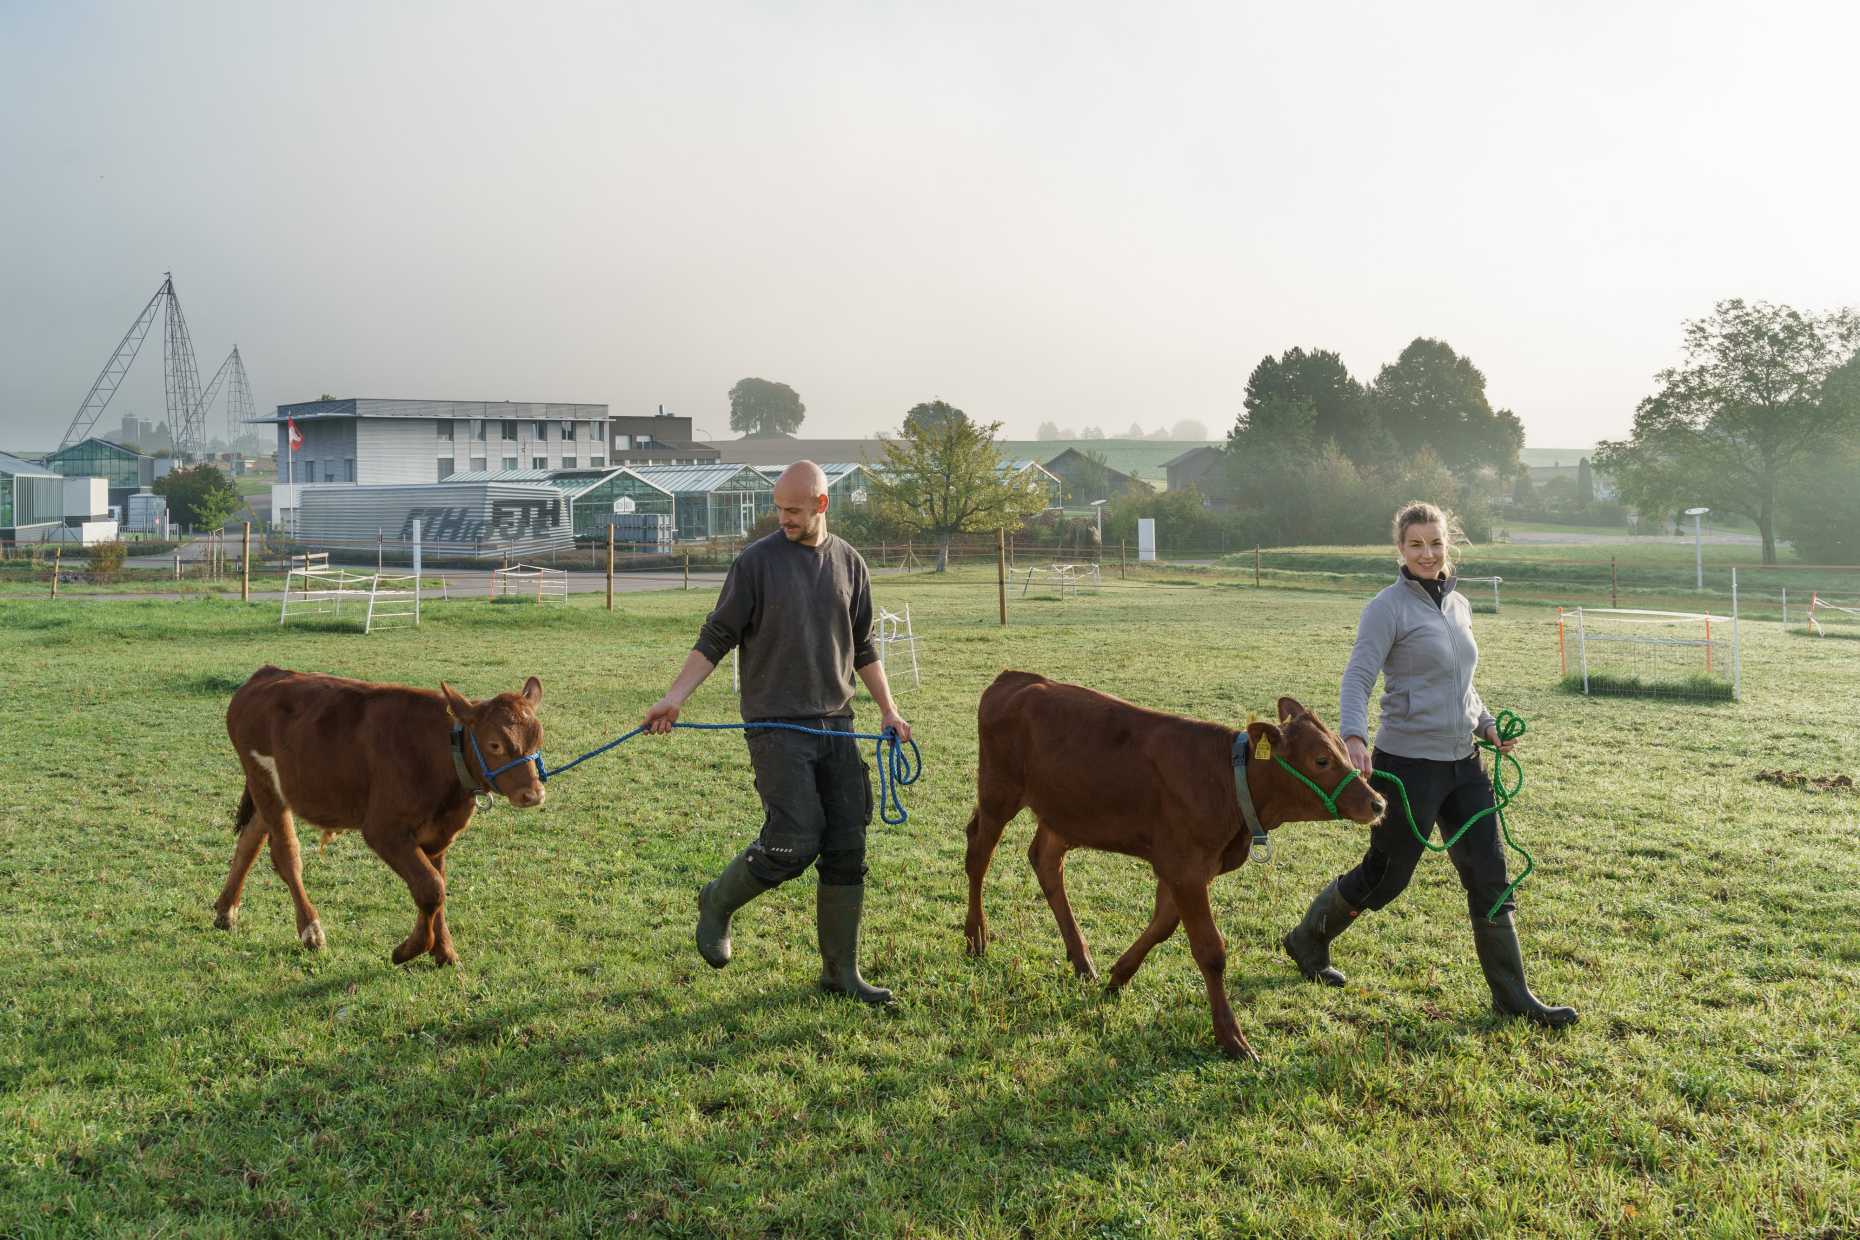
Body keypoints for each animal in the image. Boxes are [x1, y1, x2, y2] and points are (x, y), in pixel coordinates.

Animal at [213, 665, 543, 966]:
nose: (533, 794)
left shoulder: (439, 833)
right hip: (264, 782)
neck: (439, 754)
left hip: (271, 789)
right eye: (495, 744)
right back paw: (311, 930)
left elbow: (435, 886)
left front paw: (444, 952)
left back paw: (226, 911)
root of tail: (266, 674)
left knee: (250, 839)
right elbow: (431, 888)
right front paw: (408, 950)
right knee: (285, 854)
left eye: (537, 740)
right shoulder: (383, 830)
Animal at [967, 672, 1391, 1063]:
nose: (1378, 803)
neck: (1227, 781)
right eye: (1321, 760)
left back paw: (1083, 960)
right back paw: (976, 937)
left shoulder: (1183, 868)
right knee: (978, 854)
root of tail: (1015, 679)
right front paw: (1231, 1038)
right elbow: (1209, 950)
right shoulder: (1185, 869)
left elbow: (1162, 926)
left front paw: (1118, 976)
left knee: (1046, 862)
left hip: (1062, 813)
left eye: (1343, 749)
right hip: (998, 793)